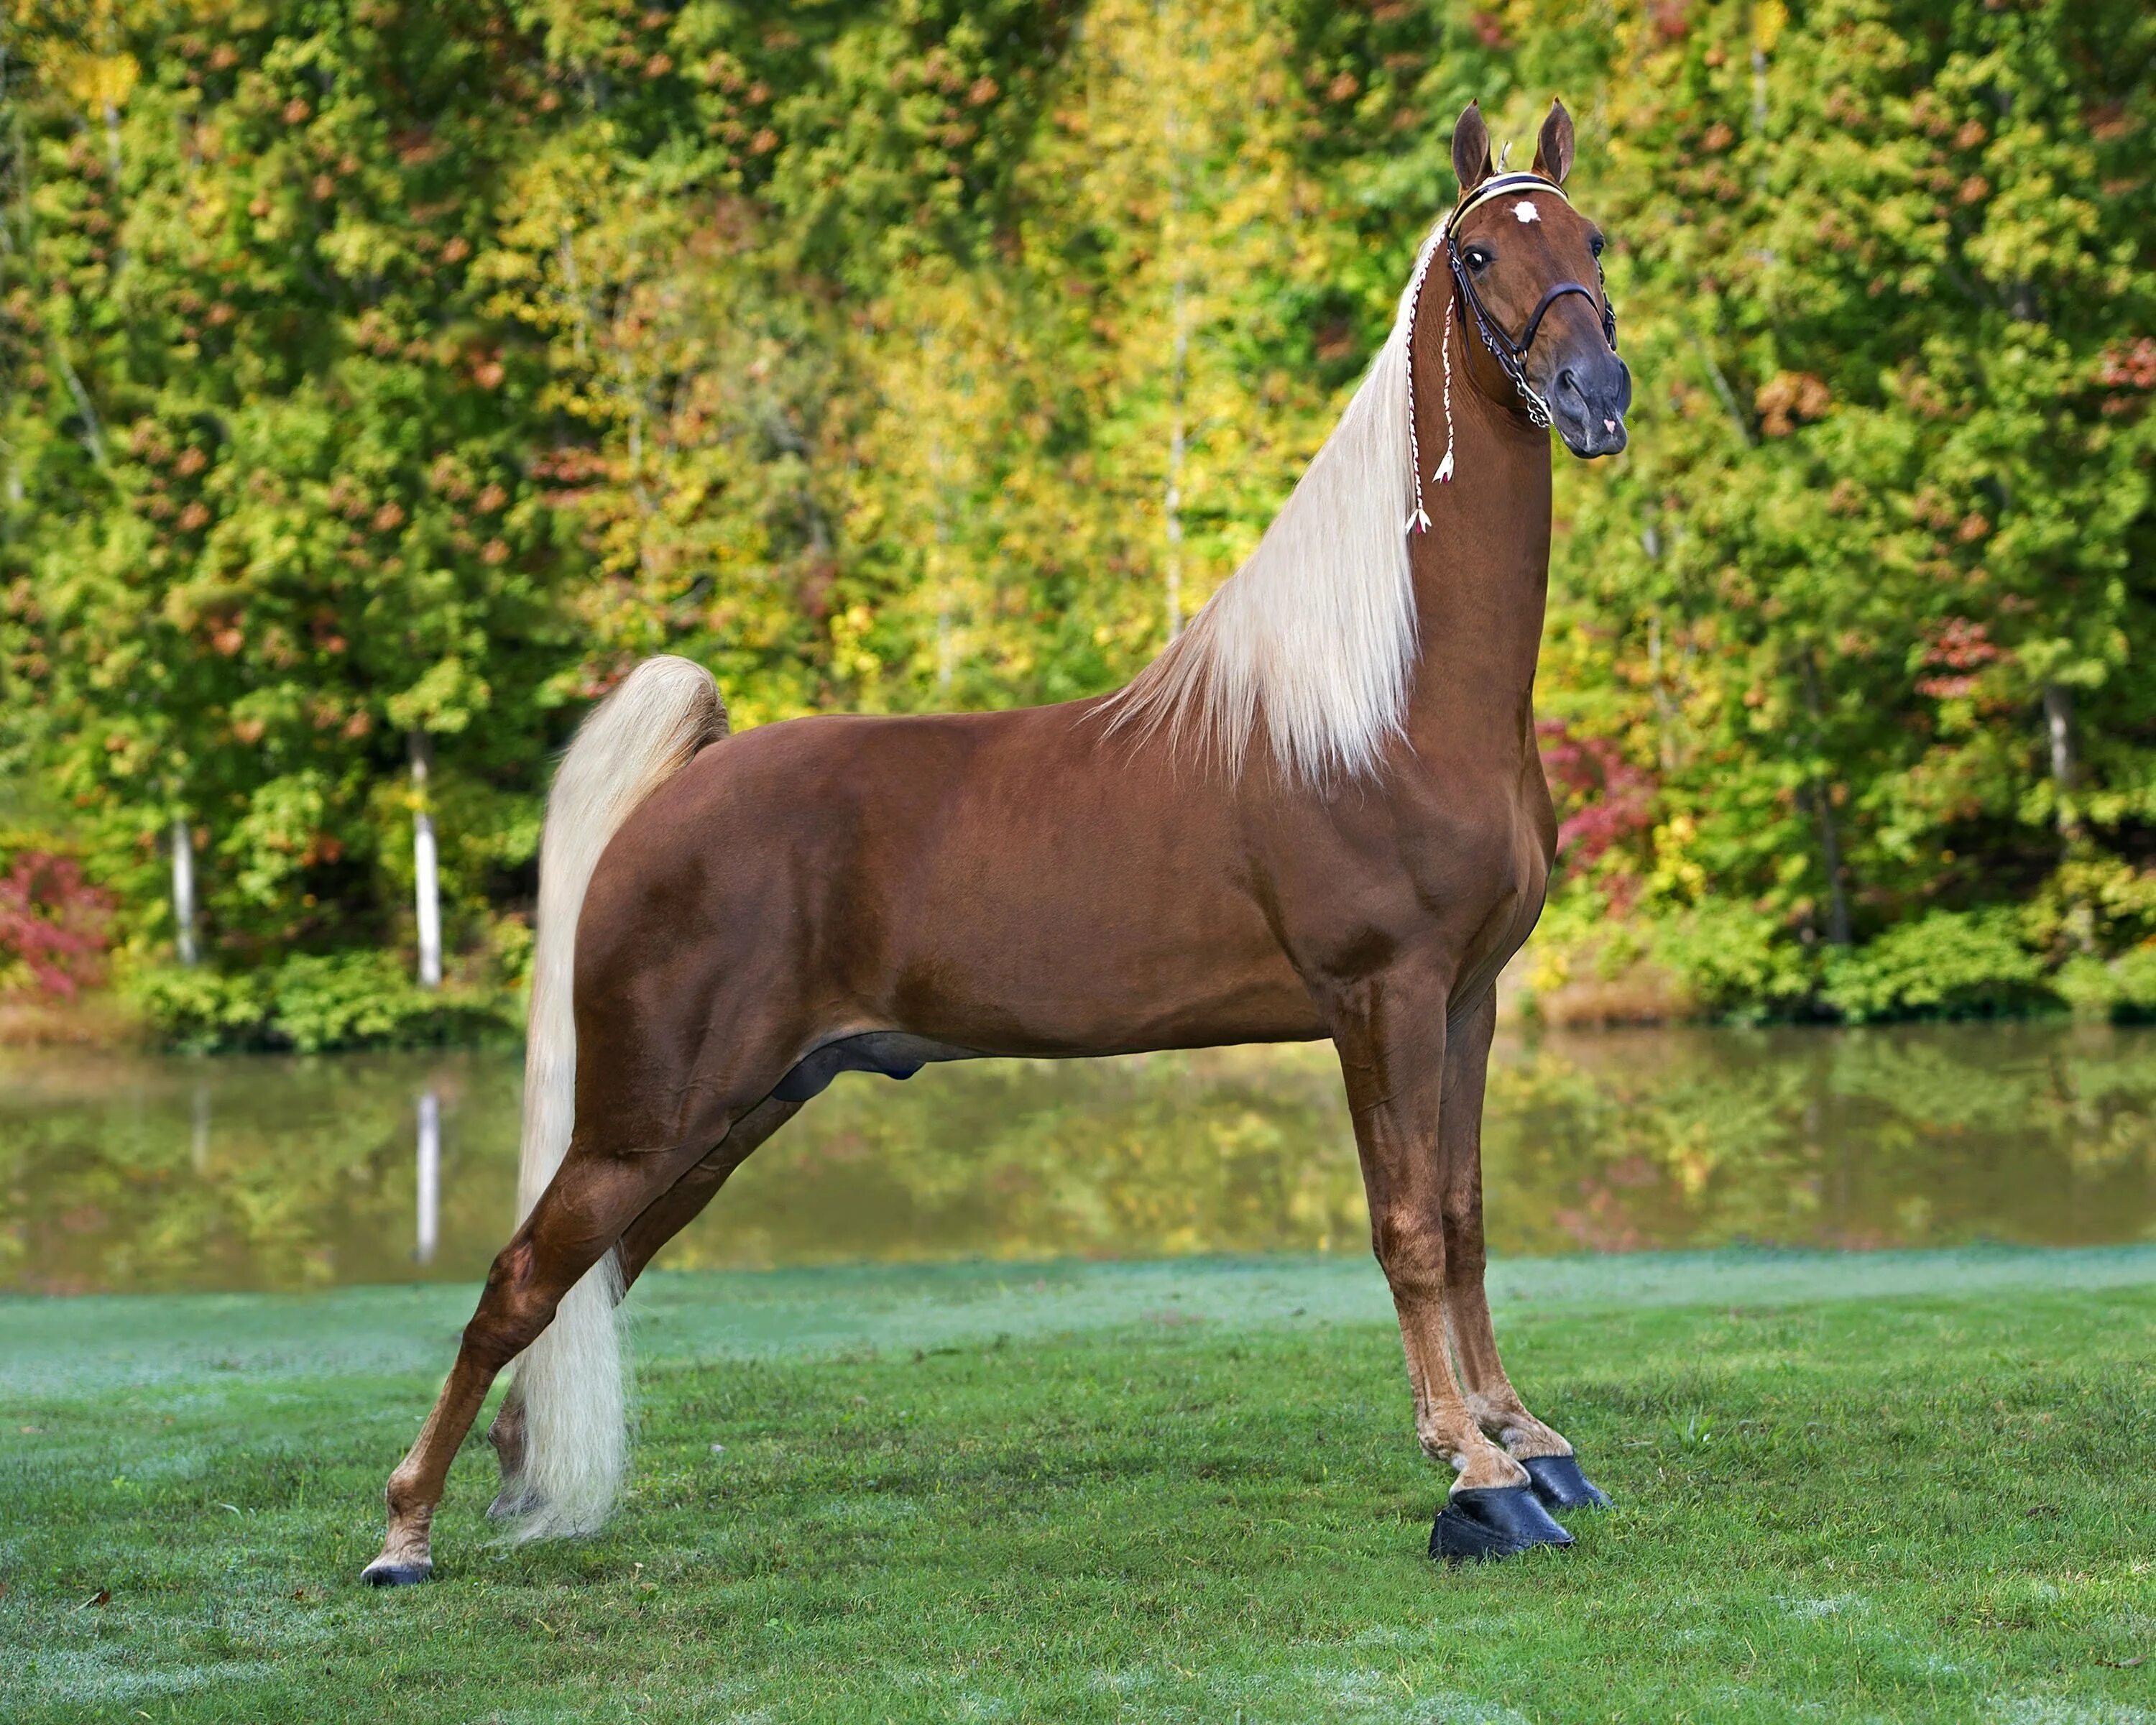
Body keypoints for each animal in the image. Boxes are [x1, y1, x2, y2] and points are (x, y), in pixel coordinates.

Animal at [358, 91, 1630, 1578]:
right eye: (1480, 256)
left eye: (1592, 239)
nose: (1597, 397)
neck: (1389, 696)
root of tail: (687, 784)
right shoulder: (1383, 998)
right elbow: (1412, 1229)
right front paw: (1475, 1472)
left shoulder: (1467, 1000)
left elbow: (1471, 1220)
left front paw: (1532, 1442)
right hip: (648, 1117)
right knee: (521, 1280)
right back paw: (403, 1532)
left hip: (731, 1113)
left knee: (585, 1283)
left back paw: (507, 1484)